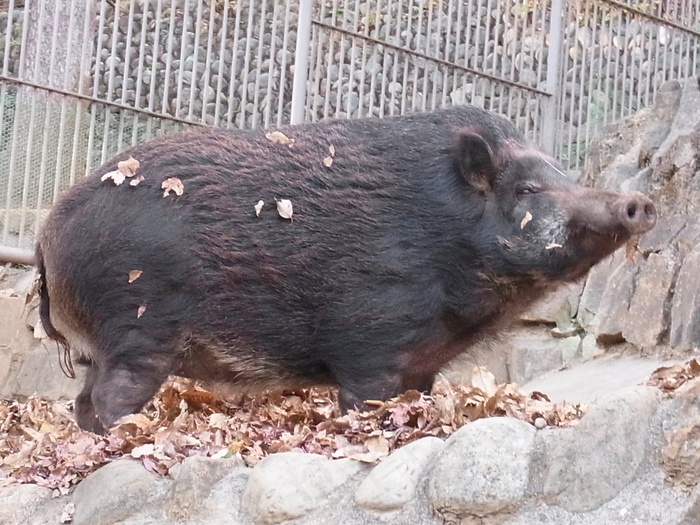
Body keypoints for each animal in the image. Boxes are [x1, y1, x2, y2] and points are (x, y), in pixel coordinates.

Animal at [35, 104, 660, 432]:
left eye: (563, 175)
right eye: (528, 188)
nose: (640, 204)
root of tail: (45, 234)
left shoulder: (423, 363)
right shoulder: (372, 341)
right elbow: (365, 403)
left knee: (82, 403)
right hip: (138, 328)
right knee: (108, 400)